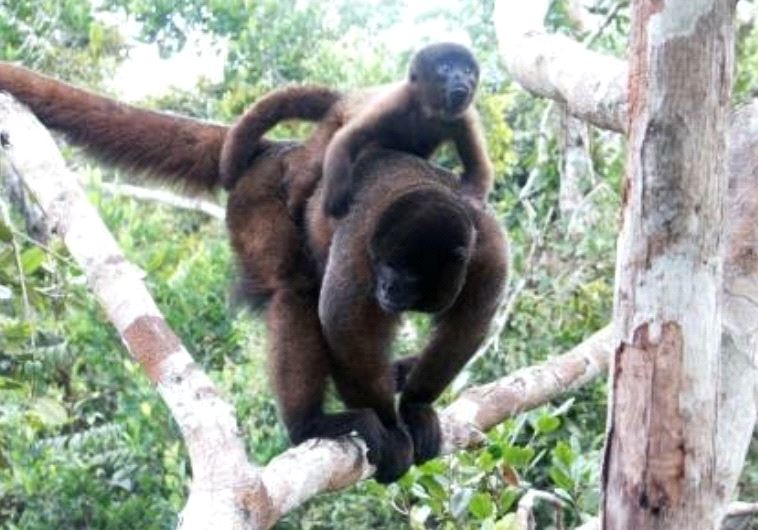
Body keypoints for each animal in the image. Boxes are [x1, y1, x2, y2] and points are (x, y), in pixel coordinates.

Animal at [0, 62, 508, 482]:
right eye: (386, 265)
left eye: (407, 273)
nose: (385, 287)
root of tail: (275, 150)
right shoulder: (361, 241)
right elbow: (344, 324)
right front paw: (390, 424)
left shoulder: (489, 251)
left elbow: (468, 323)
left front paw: (417, 405)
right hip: (256, 200)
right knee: (296, 291)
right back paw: (312, 424)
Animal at [218, 42, 492, 219]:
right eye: (445, 68)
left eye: (467, 70)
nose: (462, 78)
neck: (428, 110)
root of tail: (345, 98)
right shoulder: (395, 102)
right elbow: (345, 140)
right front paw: (336, 197)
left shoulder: (464, 117)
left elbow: (478, 165)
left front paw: (471, 203)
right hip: (333, 119)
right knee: (314, 163)